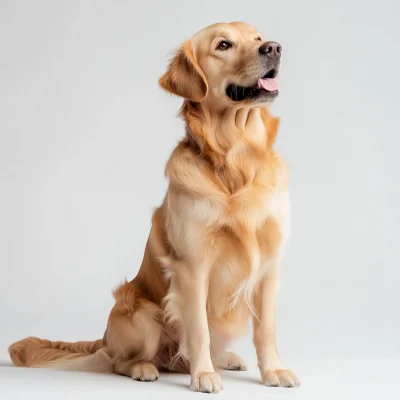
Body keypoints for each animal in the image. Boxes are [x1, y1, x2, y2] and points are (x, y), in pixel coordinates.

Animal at [8, 21, 300, 390]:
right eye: (223, 45)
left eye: (258, 38)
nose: (274, 48)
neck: (236, 158)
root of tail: (104, 337)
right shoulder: (192, 267)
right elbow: (198, 329)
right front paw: (203, 375)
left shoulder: (270, 263)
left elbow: (266, 329)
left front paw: (273, 370)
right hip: (142, 315)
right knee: (120, 360)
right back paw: (145, 368)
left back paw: (224, 359)